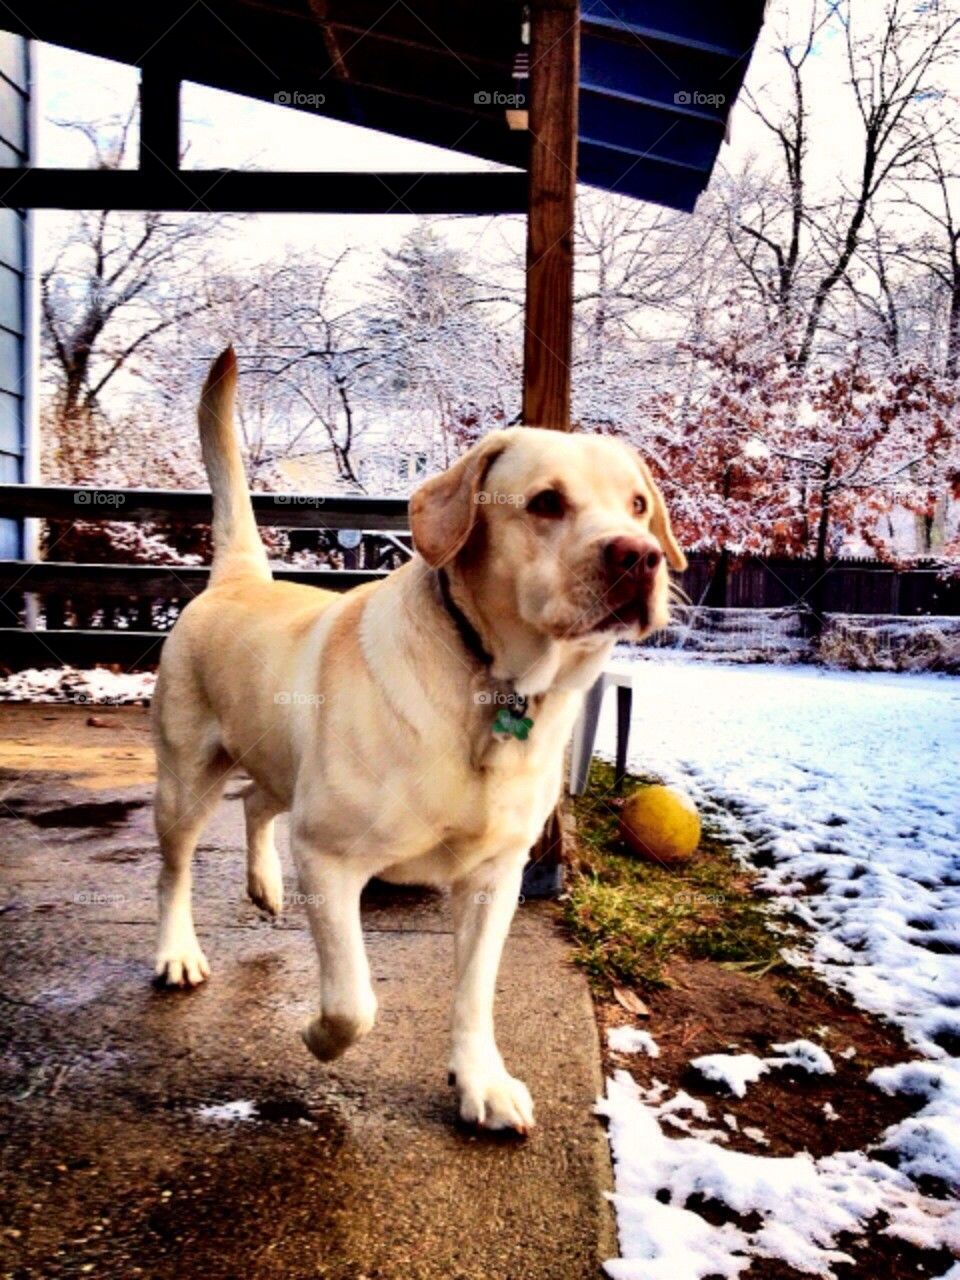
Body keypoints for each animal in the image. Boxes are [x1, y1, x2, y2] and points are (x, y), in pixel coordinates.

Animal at [154, 348, 686, 1131]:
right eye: (546, 503)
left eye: (640, 505)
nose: (641, 556)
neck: (492, 684)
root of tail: (236, 577)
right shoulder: (331, 858)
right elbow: (353, 1001)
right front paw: (316, 1035)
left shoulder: (495, 876)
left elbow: (475, 993)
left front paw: (481, 1081)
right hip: (185, 779)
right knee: (175, 871)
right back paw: (177, 954)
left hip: (278, 764)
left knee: (256, 803)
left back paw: (265, 886)